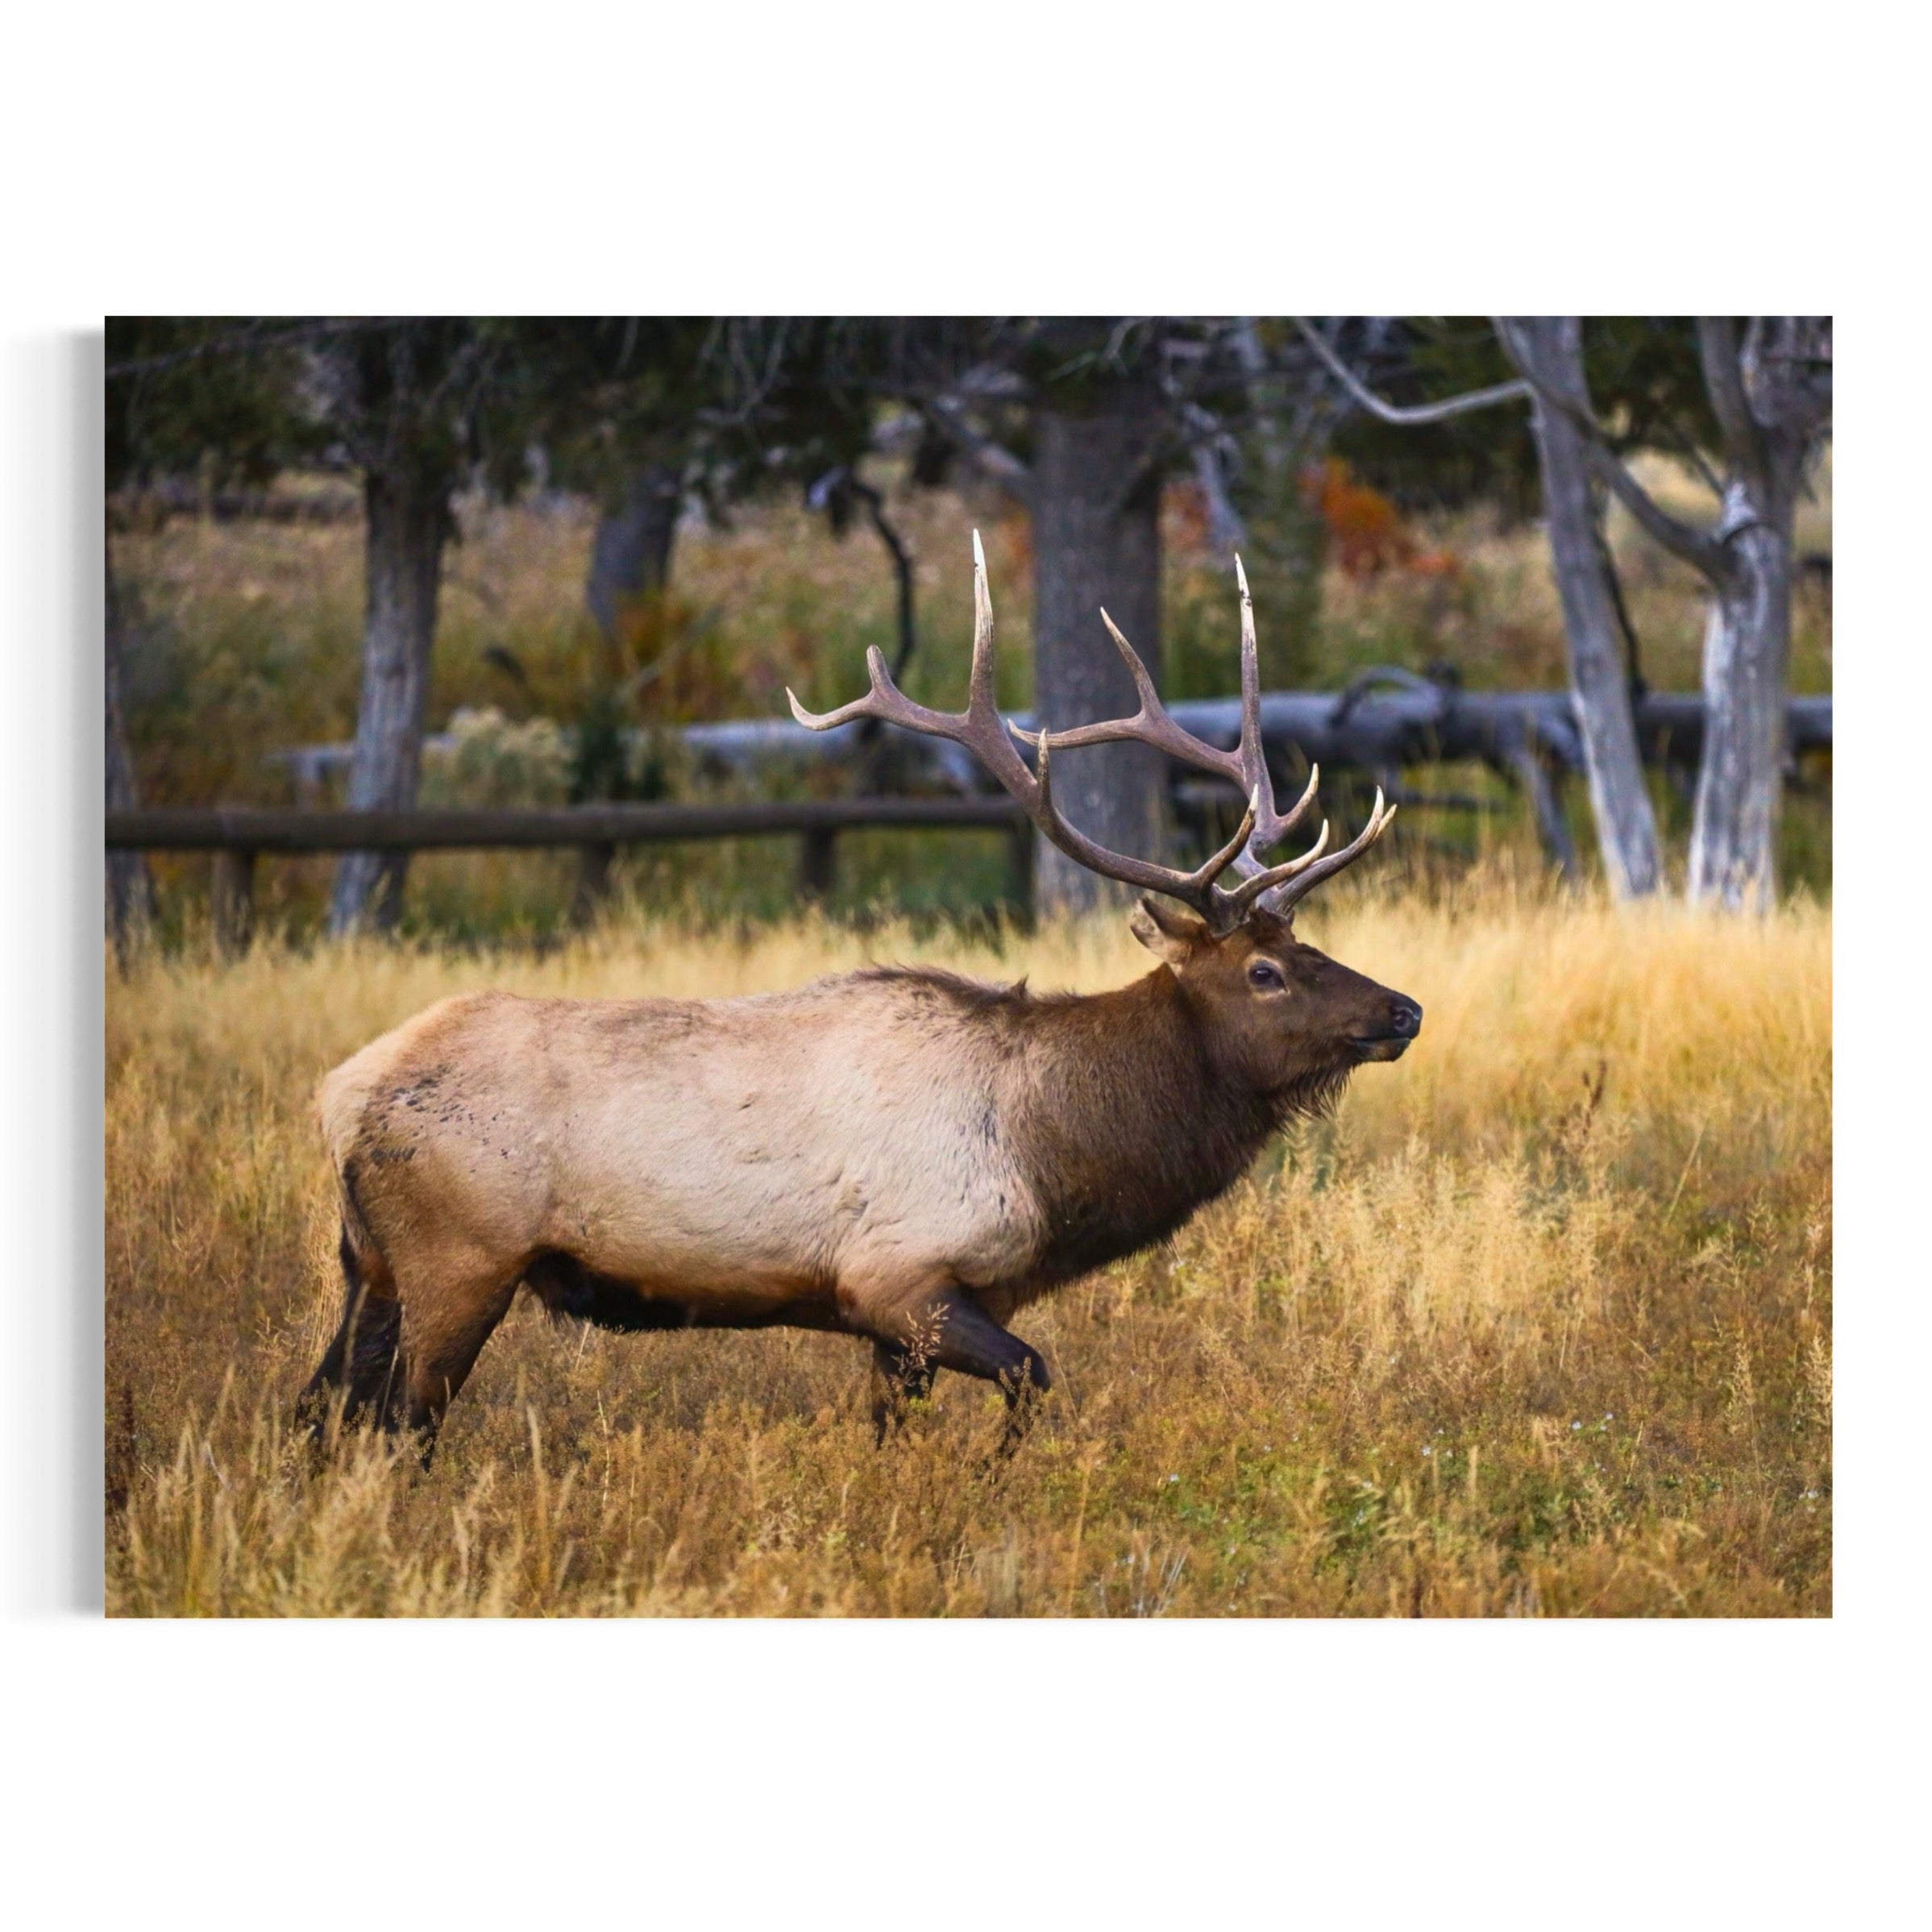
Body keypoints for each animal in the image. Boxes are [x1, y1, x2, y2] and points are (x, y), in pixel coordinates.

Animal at [299, 536, 1421, 1459]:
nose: (1403, 1010)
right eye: (1264, 972)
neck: (1053, 1153)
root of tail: (341, 1095)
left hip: (369, 1265)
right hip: (459, 1258)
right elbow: (1034, 1377)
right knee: (397, 1426)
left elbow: (897, 1432)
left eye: (1306, 944)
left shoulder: (903, 1319)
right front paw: (995, 1478)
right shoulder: (901, 1276)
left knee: (318, 1409)